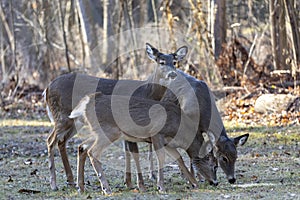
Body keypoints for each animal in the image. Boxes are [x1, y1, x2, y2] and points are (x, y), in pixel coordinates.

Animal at [43, 42, 191, 191]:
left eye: (174, 62)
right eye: (161, 62)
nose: (172, 74)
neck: (146, 92)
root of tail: (47, 88)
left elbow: (129, 152)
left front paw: (129, 182)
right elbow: (134, 152)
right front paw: (140, 184)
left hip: (75, 122)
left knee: (62, 141)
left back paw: (72, 181)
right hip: (62, 116)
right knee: (51, 140)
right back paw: (54, 183)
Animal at [68, 92, 218, 194]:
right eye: (214, 166)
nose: (215, 182)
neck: (181, 132)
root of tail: (87, 104)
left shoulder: (168, 143)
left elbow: (179, 158)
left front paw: (194, 183)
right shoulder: (157, 134)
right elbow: (161, 158)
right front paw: (161, 186)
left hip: (98, 132)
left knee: (82, 147)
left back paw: (81, 187)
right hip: (109, 131)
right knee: (92, 151)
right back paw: (106, 188)